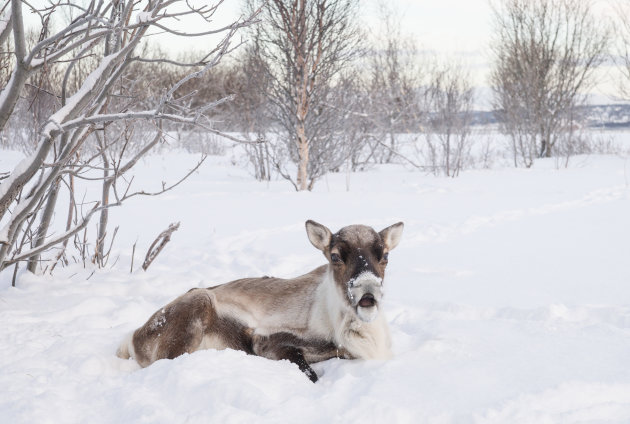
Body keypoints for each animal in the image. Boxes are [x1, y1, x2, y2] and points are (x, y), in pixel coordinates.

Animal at [118, 220, 404, 382]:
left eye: (385, 255)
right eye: (334, 256)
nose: (368, 292)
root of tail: (133, 337)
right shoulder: (268, 343)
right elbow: (310, 374)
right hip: (197, 304)